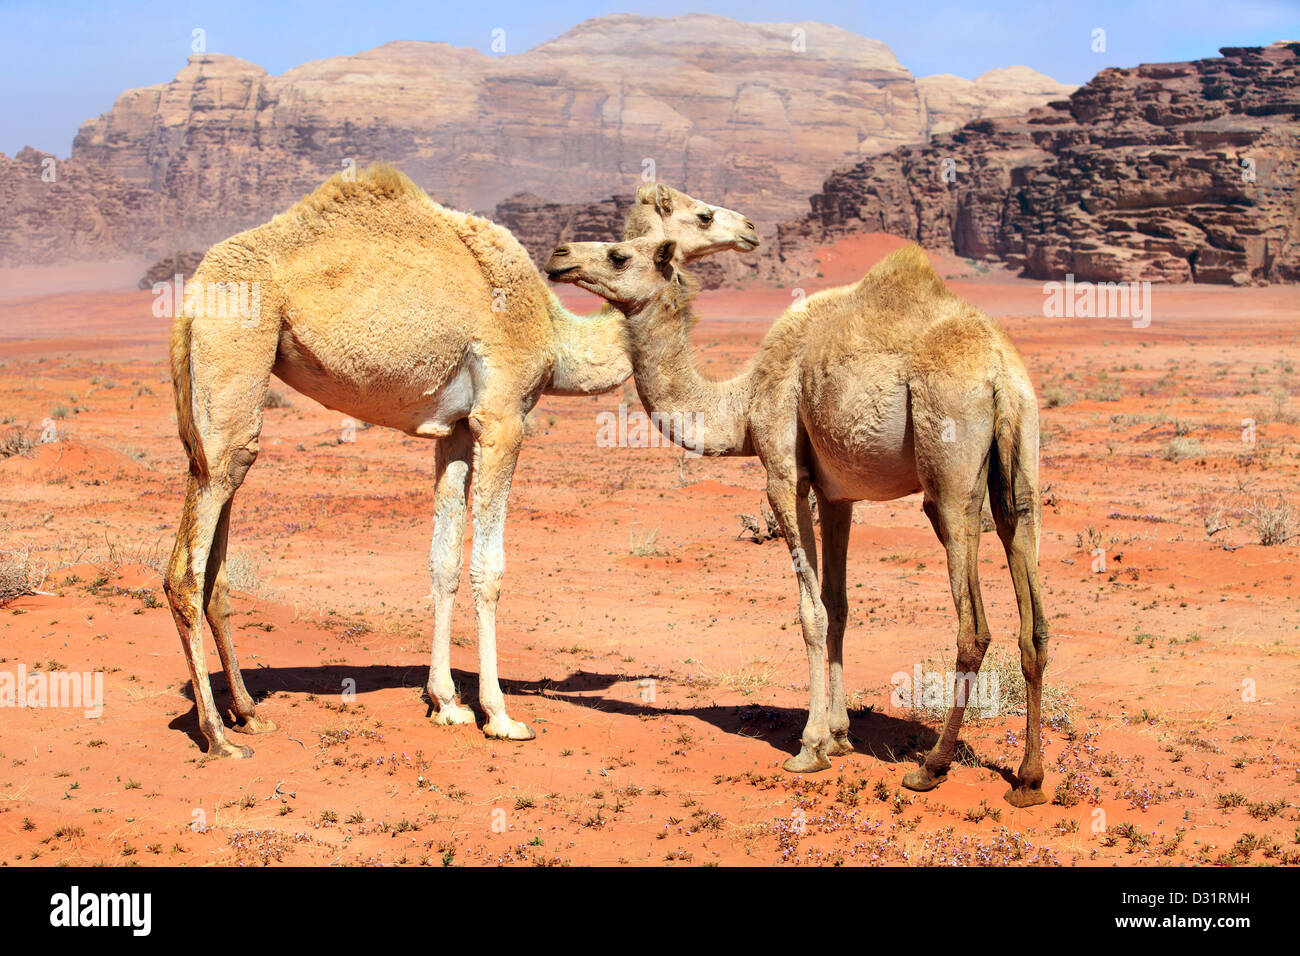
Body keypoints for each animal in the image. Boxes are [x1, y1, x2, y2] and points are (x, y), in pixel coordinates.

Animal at [166, 167, 759, 759]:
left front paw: (447, 703)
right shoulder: (501, 418)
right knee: (186, 570)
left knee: (216, 553)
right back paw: (218, 735)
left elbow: (444, 562)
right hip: (238, 352)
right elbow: (487, 568)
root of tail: (193, 293)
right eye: (703, 213)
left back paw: (248, 713)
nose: (750, 228)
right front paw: (499, 715)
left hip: (226, 406)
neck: (555, 335)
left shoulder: (451, 431)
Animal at [543, 235, 1050, 806]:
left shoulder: (784, 473)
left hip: (950, 468)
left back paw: (932, 766)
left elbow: (811, 614)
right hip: (1022, 456)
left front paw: (810, 748)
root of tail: (999, 371)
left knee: (973, 626)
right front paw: (841, 735)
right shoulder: (838, 494)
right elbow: (839, 606)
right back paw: (1029, 779)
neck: (741, 406)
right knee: (1031, 606)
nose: (559, 256)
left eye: (620, 255)